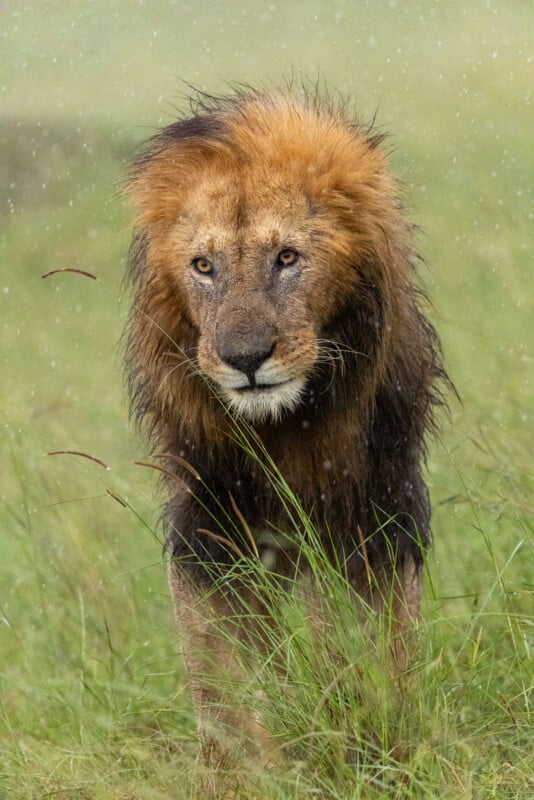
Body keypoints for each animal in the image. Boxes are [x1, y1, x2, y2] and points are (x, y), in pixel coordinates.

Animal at [124, 87, 449, 788]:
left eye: (288, 258)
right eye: (204, 266)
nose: (245, 358)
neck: (286, 429)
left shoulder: (372, 516)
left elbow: (365, 649)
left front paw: (371, 747)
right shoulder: (212, 527)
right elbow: (225, 679)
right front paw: (245, 772)